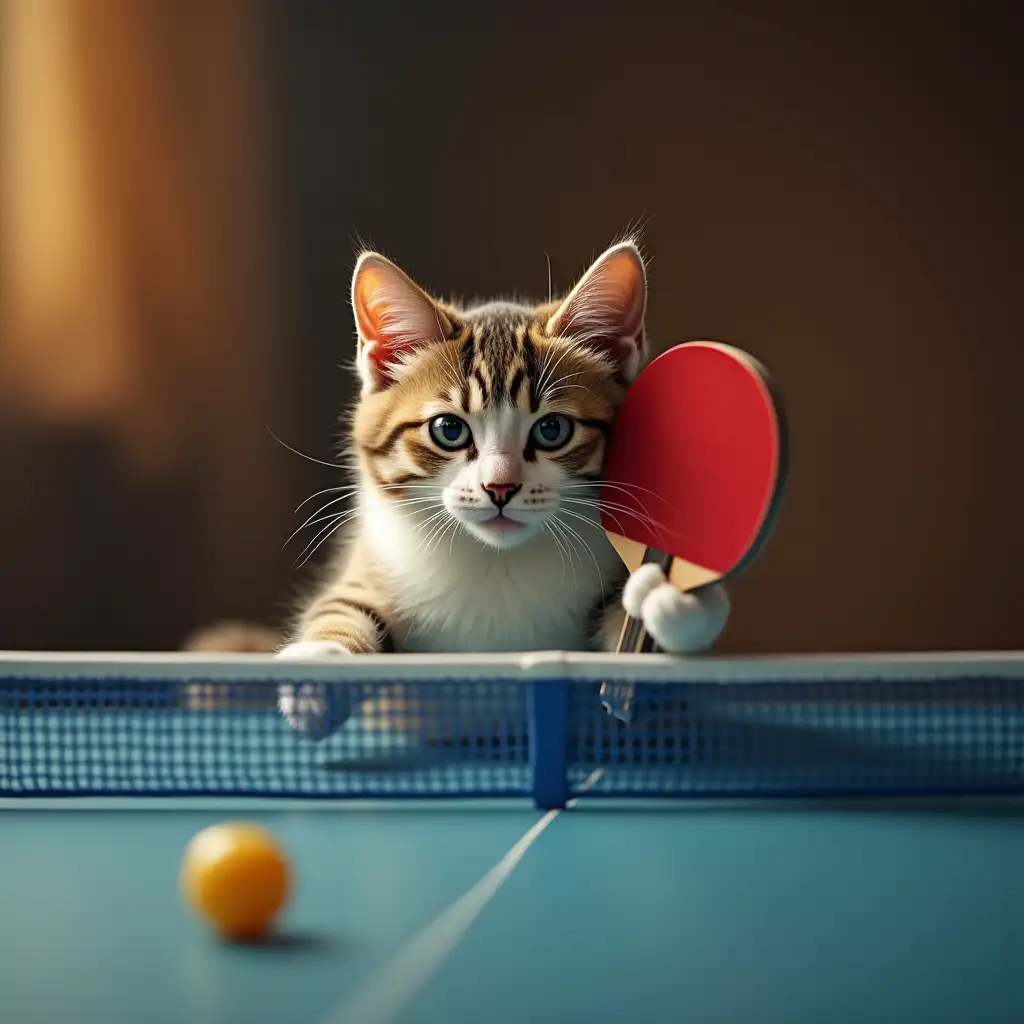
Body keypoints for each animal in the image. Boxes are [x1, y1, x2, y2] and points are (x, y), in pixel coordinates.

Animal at [276, 239, 733, 737]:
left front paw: (670, 606)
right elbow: (342, 606)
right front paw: (321, 668)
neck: (499, 561)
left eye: (552, 429)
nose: (500, 487)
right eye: (448, 430)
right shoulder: (373, 561)